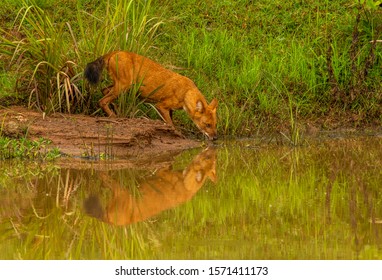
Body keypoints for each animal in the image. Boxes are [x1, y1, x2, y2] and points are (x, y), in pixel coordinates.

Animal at [85, 50, 219, 140]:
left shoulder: (170, 109)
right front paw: (177, 134)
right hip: (123, 86)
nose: (215, 138)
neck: (186, 92)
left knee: (104, 90)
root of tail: (115, 52)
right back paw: (114, 116)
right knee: (102, 100)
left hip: (119, 86)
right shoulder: (161, 106)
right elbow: (170, 124)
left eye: (215, 124)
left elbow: (171, 120)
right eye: (207, 124)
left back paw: (117, 111)